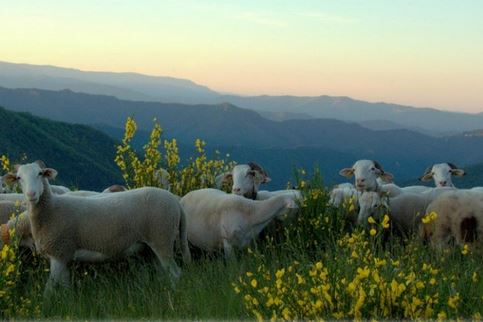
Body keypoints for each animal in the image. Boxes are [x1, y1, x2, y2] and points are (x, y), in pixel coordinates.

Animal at [4, 162, 193, 290]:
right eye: (19, 178)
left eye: (40, 173)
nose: (31, 194)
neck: (51, 209)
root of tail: (177, 204)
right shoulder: (64, 256)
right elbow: (65, 287)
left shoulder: (59, 252)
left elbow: (49, 290)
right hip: (150, 248)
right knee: (164, 274)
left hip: (162, 238)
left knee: (176, 274)